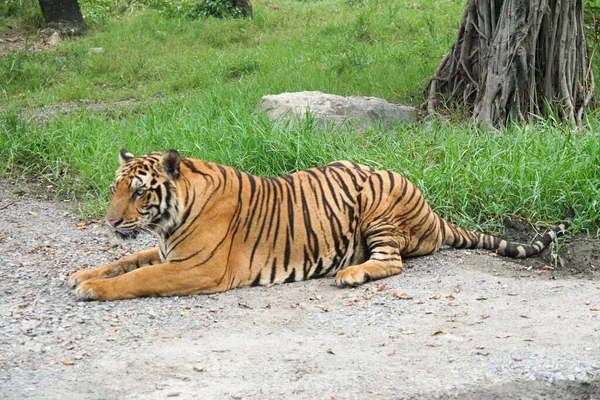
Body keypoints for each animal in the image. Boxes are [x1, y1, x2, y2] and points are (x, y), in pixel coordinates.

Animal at [68, 149, 576, 300]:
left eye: (139, 192)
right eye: (115, 189)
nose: (110, 220)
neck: (169, 221)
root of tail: (434, 212)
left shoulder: (198, 267)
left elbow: (140, 276)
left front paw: (92, 289)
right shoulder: (166, 249)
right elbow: (128, 260)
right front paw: (81, 274)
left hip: (378, 197)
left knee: (392, 262)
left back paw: (350, 274)